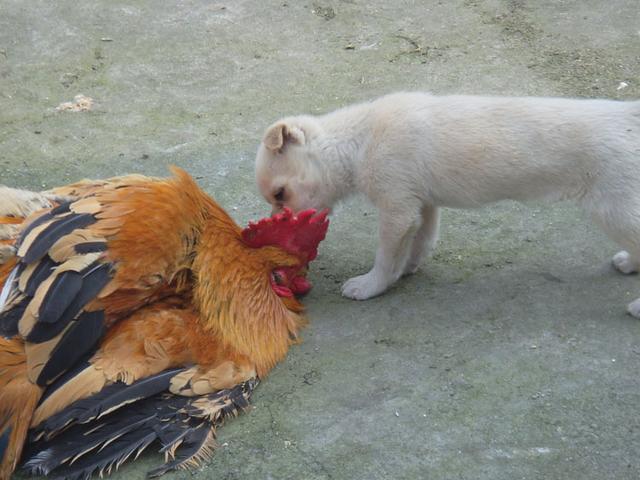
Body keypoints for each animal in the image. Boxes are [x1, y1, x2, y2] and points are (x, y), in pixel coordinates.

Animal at [255, 94, 640, 316]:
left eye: (280, 195)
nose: (278, 229)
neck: (359, 141)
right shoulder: (422, 206)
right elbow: (419, 243)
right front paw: (407, 269)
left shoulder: (397, 211)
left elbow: (385, 257)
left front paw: (371, 285)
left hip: (615, 210)